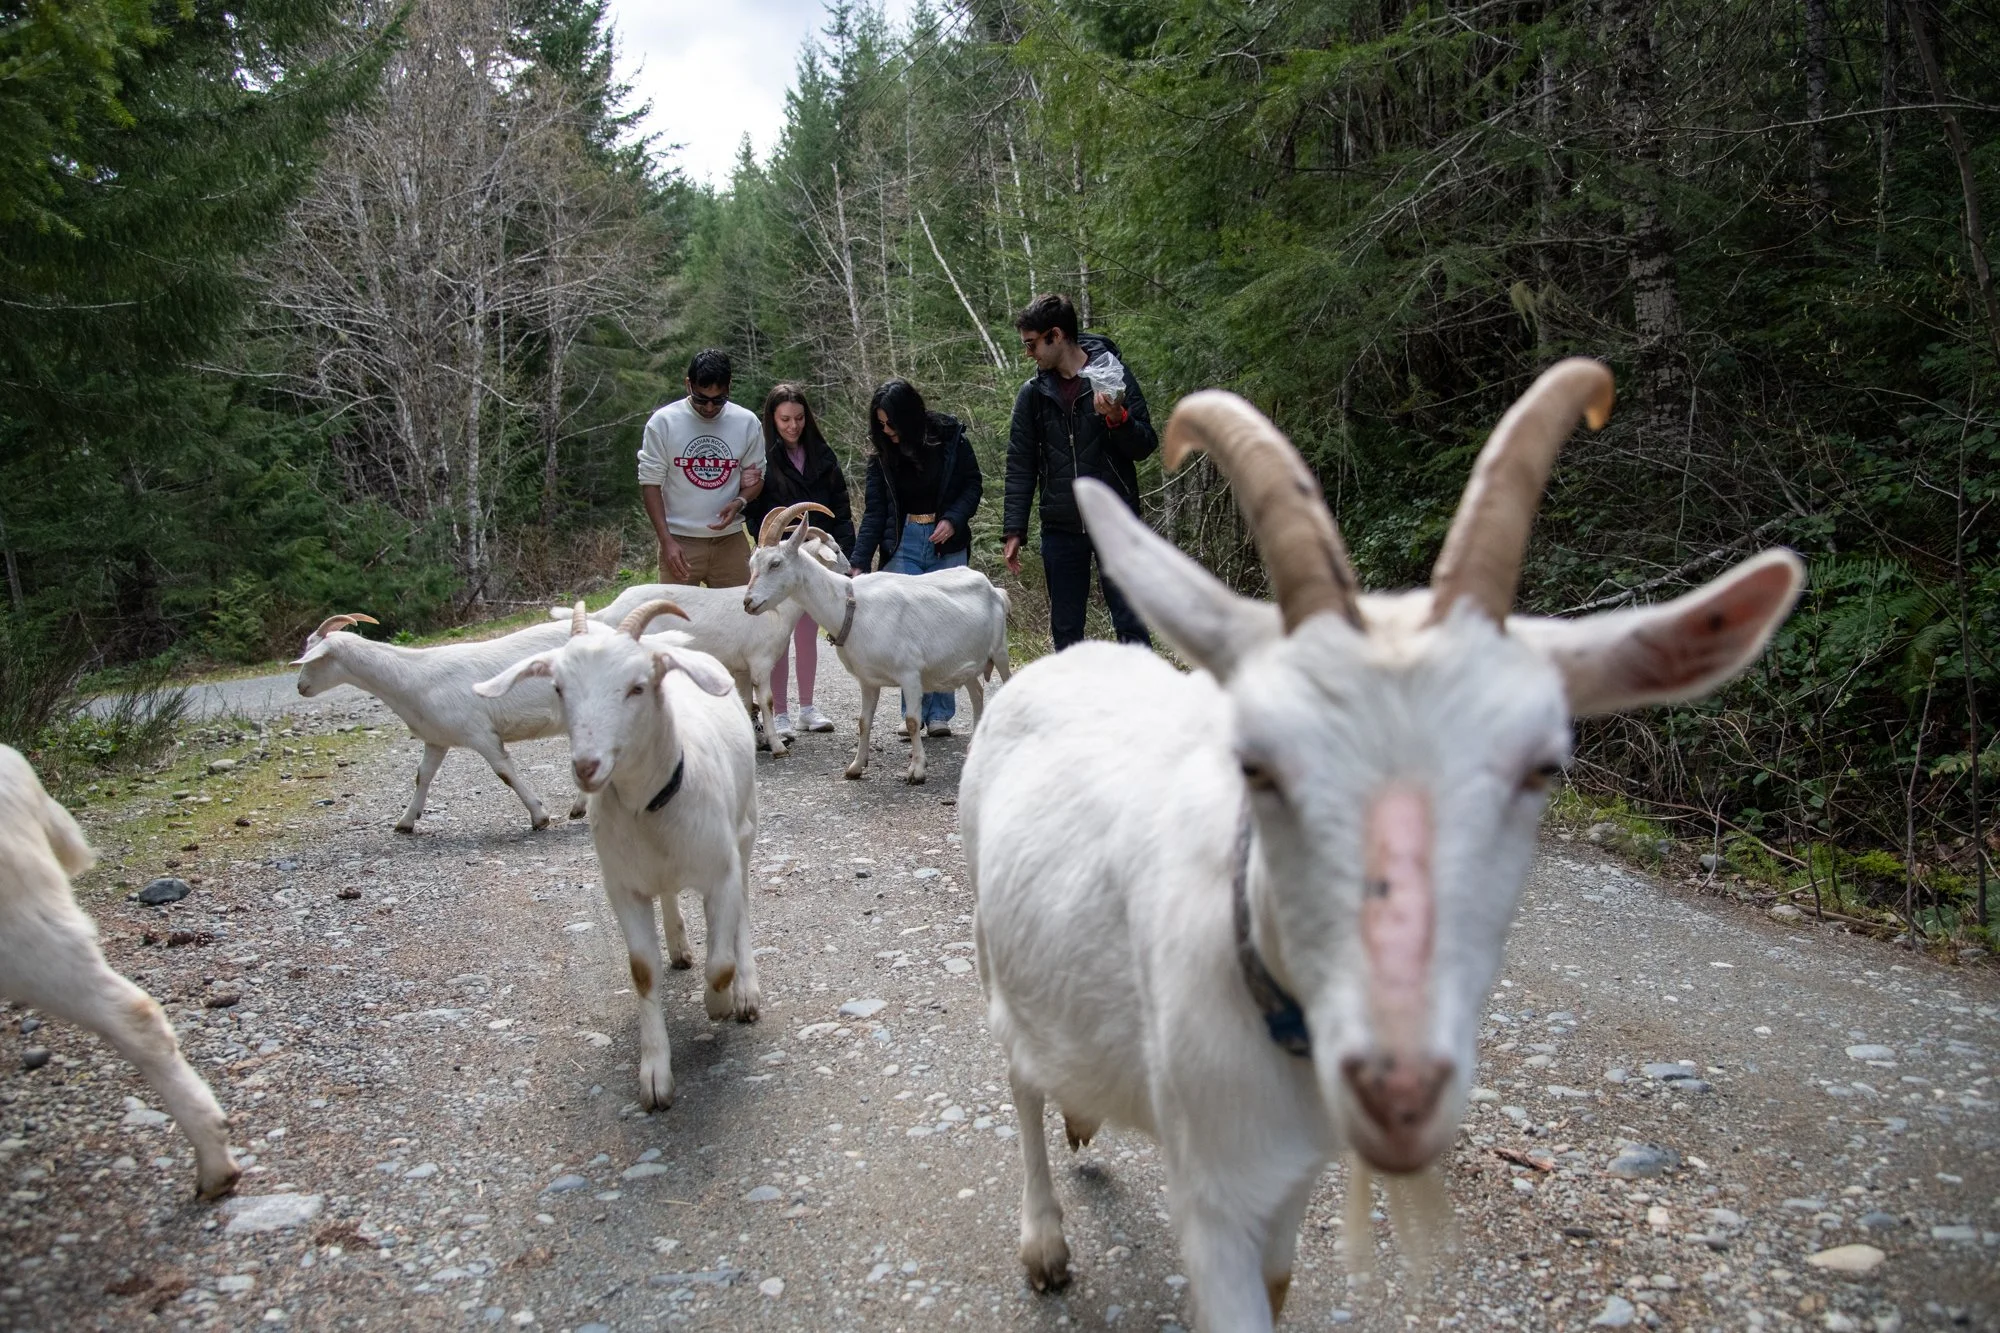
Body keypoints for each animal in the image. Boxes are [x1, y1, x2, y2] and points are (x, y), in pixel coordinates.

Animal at [293, 615, 587, 833]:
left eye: (314, 657)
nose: (300, 687)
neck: (413, 677)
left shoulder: (480, 733)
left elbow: (504, 772)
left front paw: (539, 816)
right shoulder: (436, 738)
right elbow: (423, 775)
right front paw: (406, 821)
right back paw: (579, 807)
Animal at [475, 601, 760, 1110]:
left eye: (637, 687)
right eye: (558, 688)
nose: (587, 766)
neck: (651, 807)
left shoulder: (720, 872)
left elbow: (721, 963)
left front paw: (720, 1003)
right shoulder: (623, 887)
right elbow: (643, 972)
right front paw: (655, 1077)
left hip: (745, 826)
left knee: (743, 904)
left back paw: (746, 991)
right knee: (669, 896)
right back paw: (680, 945)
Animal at [550, 528, 849, 757]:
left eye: (772, 564)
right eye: (835, 549)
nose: (849, 571)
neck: (776, 608)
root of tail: (607, 611)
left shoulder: (740, 667)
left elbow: (745, 702)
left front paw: (753, 744)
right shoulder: (760, 662)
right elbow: (766, 701)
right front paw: (777, 747)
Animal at [744, 502, 1011, 784]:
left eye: (775, 563)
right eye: (752, 564)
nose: (748, 603)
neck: (850, 607)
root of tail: (996, 591)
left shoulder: (910, 673)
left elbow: (913, 721)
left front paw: (916, 770)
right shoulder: (868, 680)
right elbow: (863, 721)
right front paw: (856, 767)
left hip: (1000, 652)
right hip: (966, 662)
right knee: (977, 693)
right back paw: (973, 746)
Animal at [959, 360, 1804, 1329]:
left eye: (1545, 766)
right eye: (1255, 763)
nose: (1398, 1095)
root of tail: (1065, 657)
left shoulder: (1291, 1172)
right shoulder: (1212, 1188)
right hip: (989, 937)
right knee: (1018, 1073)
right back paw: (1045, 1242)